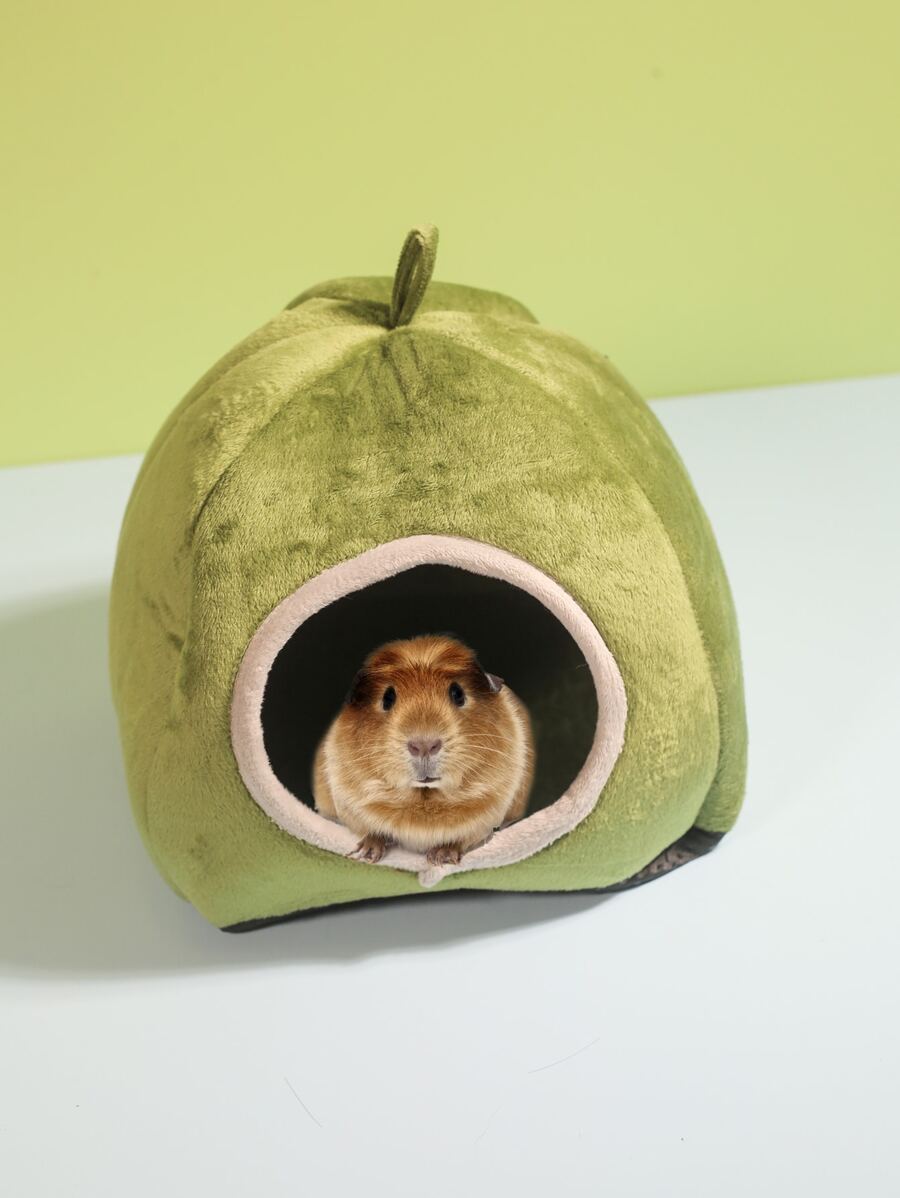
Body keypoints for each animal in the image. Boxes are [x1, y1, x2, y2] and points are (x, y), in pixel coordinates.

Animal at [312, 634, 535, 866]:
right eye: (387, 698)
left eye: (458, 693)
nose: (424, 745)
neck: (424, 799)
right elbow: (372, 830)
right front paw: (365, 854)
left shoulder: (487, 814)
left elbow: (465, 837)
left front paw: (440, 858)